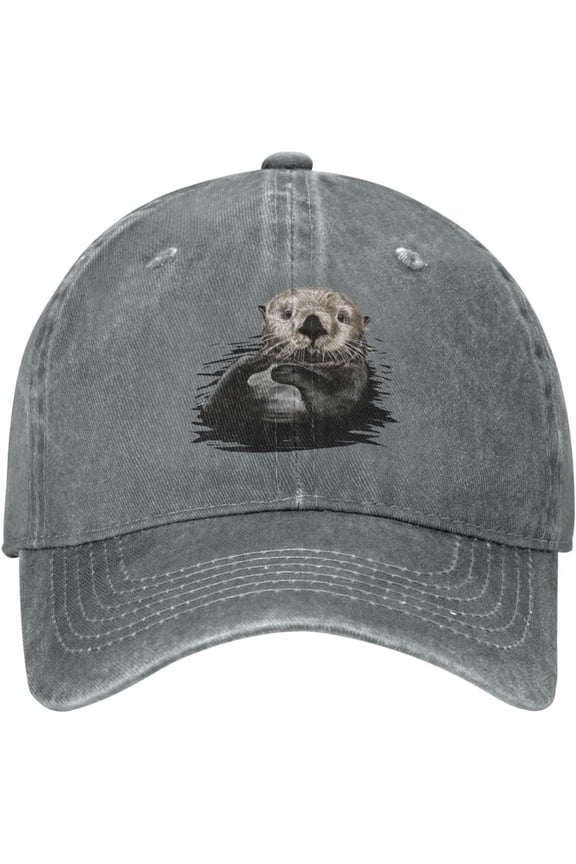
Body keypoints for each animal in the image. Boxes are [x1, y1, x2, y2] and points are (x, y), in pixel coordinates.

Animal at [198, 286, 373, 446]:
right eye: (287, 313)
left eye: (341, 317)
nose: (312, 324)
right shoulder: (218, 411)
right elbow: (216, 405)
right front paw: (258, 359)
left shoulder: (354, 384)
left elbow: (328, 406)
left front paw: (283, 371)